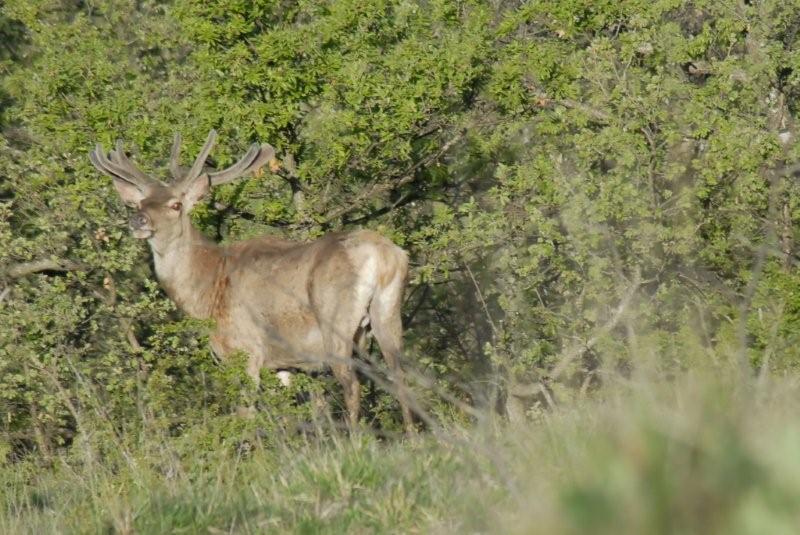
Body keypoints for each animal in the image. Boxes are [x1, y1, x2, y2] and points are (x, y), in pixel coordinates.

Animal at [90, 129, 416, 432]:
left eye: (175, 205)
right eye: (140, 203)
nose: (138, 221)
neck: (206, 293)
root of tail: (384, 256)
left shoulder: (244, 349)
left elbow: (246, 416)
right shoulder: (284, 363)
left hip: (335, 322)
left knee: (353, 386)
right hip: (387, 314)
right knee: (400, 376)